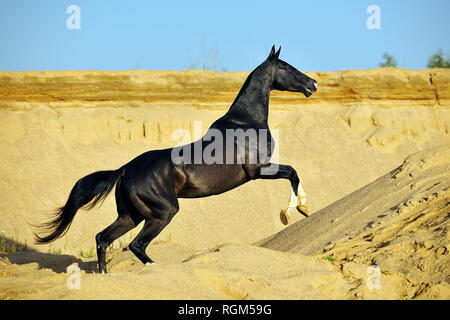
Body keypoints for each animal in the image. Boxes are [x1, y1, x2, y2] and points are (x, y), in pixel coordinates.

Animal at [36, 46, 316, 274]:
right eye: (287, 67)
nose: (312, 83)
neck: (244, 122)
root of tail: (125, 169)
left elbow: (294, 173)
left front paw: (301, 208)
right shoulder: (259, 170)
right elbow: (293, 172)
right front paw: (295, 210)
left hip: (130, 216)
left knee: (103, 238)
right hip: (163, 212)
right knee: (136, 245)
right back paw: (155, 268)